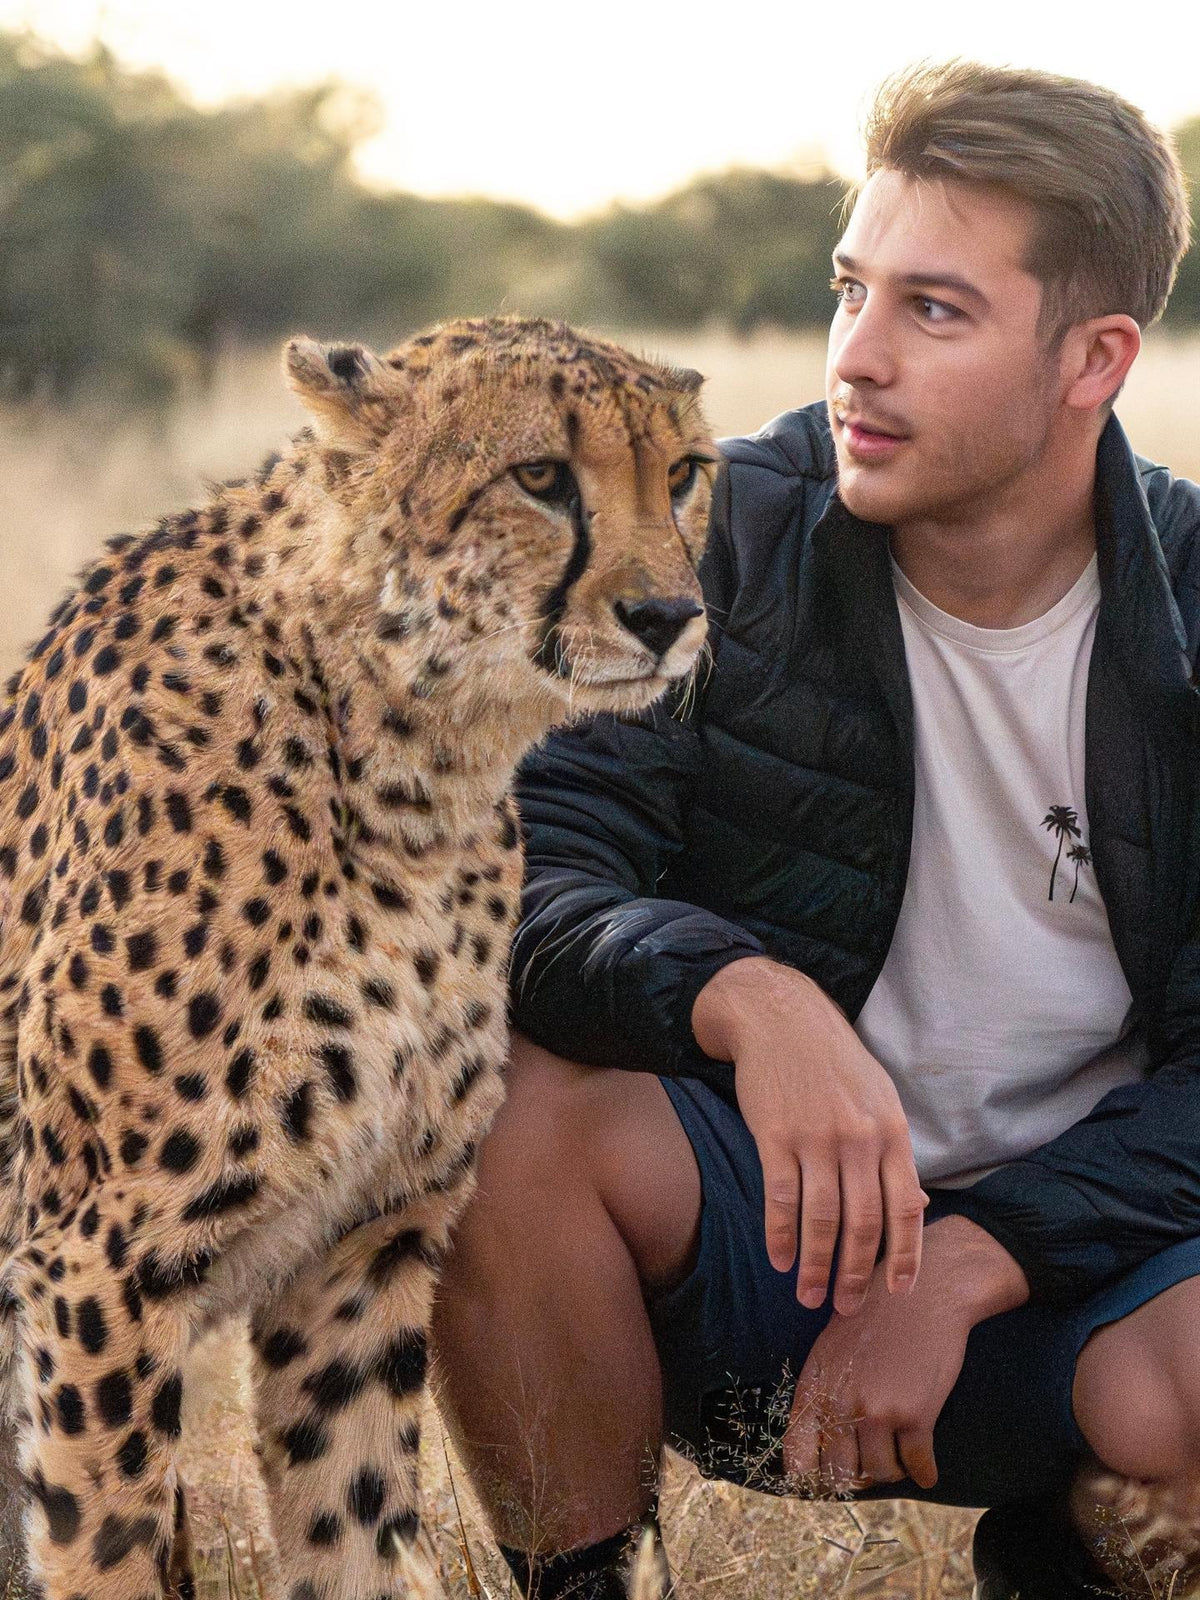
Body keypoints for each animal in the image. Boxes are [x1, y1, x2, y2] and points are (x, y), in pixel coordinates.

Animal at [0, 314, 716, 1600]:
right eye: (542, 476)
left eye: (684, 473)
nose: (669, 615)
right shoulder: (97, 1261)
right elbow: (103, 1544)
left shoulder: (364, 1242)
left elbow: (354, 1522)